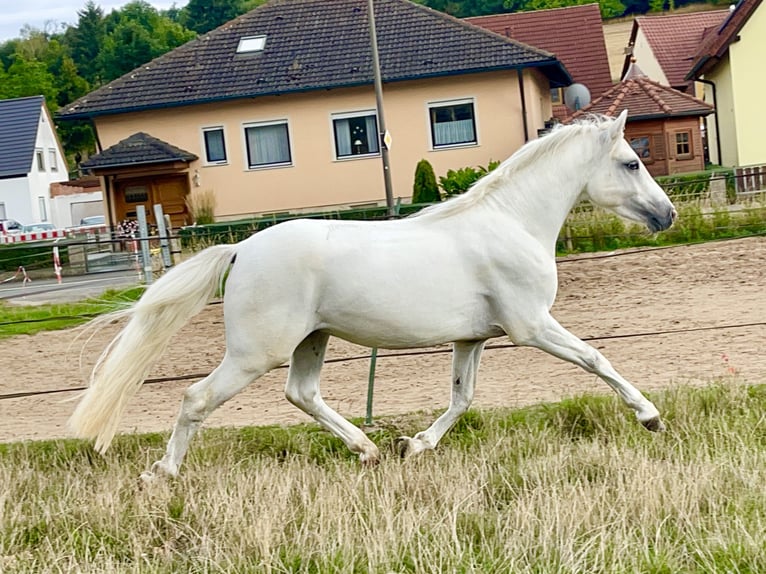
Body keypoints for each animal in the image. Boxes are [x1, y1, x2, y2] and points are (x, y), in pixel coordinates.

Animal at [69, 110, 676, 480]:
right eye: (632, 162)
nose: (666, 215)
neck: (512, 223)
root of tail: (241, 249)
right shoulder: (531, 325)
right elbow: (596, 358)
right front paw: (650, 417)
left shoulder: (473, 339)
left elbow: (462, 397)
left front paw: (415, 445)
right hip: (256, 352)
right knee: (197, 398)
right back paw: (162, 473)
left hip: (310, 341)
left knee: (301, 394)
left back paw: (369, 450)